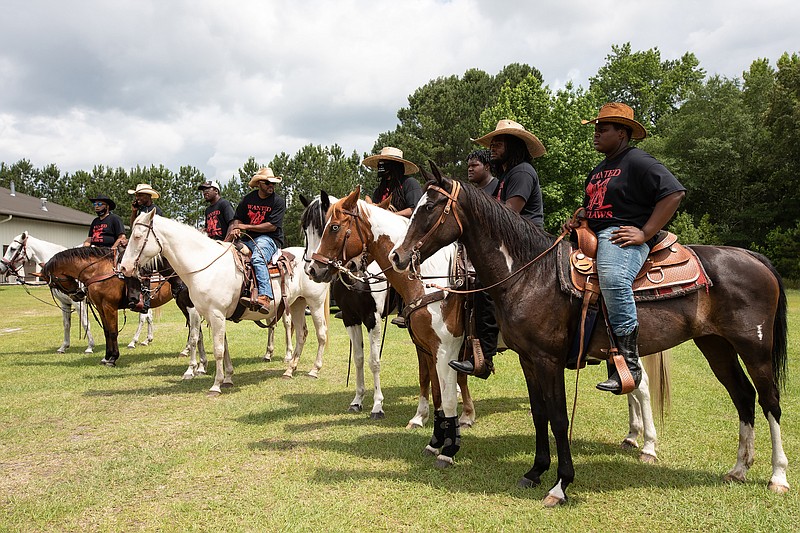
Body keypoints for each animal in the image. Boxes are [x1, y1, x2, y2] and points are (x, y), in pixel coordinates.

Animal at [42, 244, 202, 366]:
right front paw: (106, 357)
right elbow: (107, 332)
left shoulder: (109, 306)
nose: (79, 294)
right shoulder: (100, 307)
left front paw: (113, 358)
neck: (98, 270)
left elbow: (113, 332)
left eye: (54, 282)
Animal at [118, 210, 328, 392]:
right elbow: (220, 346)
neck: (205, 265)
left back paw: (314, 370)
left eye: (138, 236)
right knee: (301, 333)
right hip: (297, 303)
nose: (124, 267)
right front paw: (226, 377)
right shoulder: (210, 315)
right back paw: (289, 370)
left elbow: (214, 347)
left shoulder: (214, 313)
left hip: (314, 303)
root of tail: (312, 261)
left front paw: (214, 384)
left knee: (320, 333)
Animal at [390, 164, 792, 504]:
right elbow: (538, 414)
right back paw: (738, 469)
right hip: (716, 347)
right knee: (743, 397)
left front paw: (560, 484)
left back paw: (777, 476)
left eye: (430, 207)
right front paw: (535, 471)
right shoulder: (528, 360)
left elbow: (557, 417)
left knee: (769, 401)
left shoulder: (545, 360)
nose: (398, 256)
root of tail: (754, 257)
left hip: (755, 349)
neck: (528, 274)